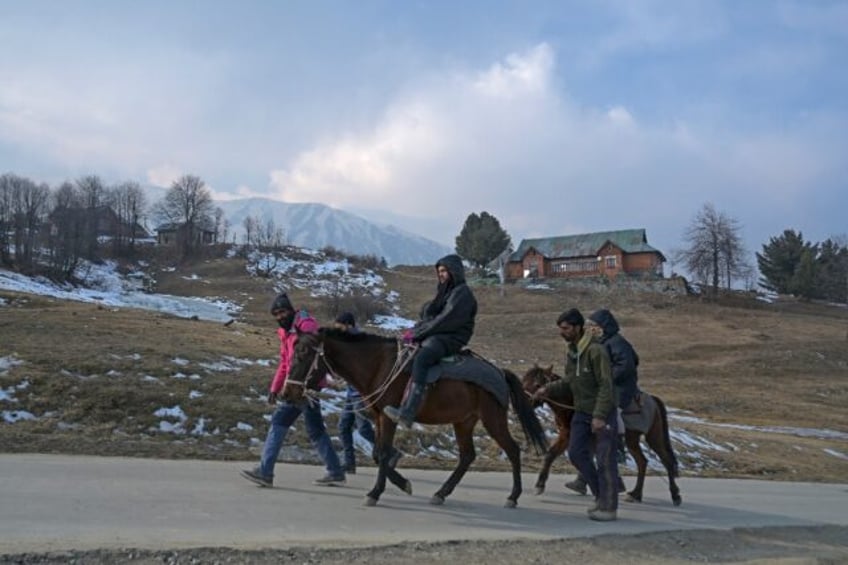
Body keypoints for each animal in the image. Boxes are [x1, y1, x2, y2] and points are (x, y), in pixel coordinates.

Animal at [284, 326, 548, 506]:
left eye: (303, 354)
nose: (288, 392)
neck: (378, 365)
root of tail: (500, 373)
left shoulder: (389, 417)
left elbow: (383, 453)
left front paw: (375, 493)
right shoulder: (378, 416)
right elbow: (378, 453)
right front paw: (403, 484)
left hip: (492, 419)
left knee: (512, 450)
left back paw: (513, 496)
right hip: (464, 421)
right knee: (467, 456)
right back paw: (441, 493)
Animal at [524, 366, 684, 506]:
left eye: (537, 384)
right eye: (525, 380)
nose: (524, 400)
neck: (572, 401)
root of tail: (653, 400)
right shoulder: (566, 435)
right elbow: (551, 454)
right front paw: (540, 485)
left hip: (653, 437)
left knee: (666, 461)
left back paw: (675, 495)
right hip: (632, 440)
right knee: (642, 462)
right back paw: (636, 494)